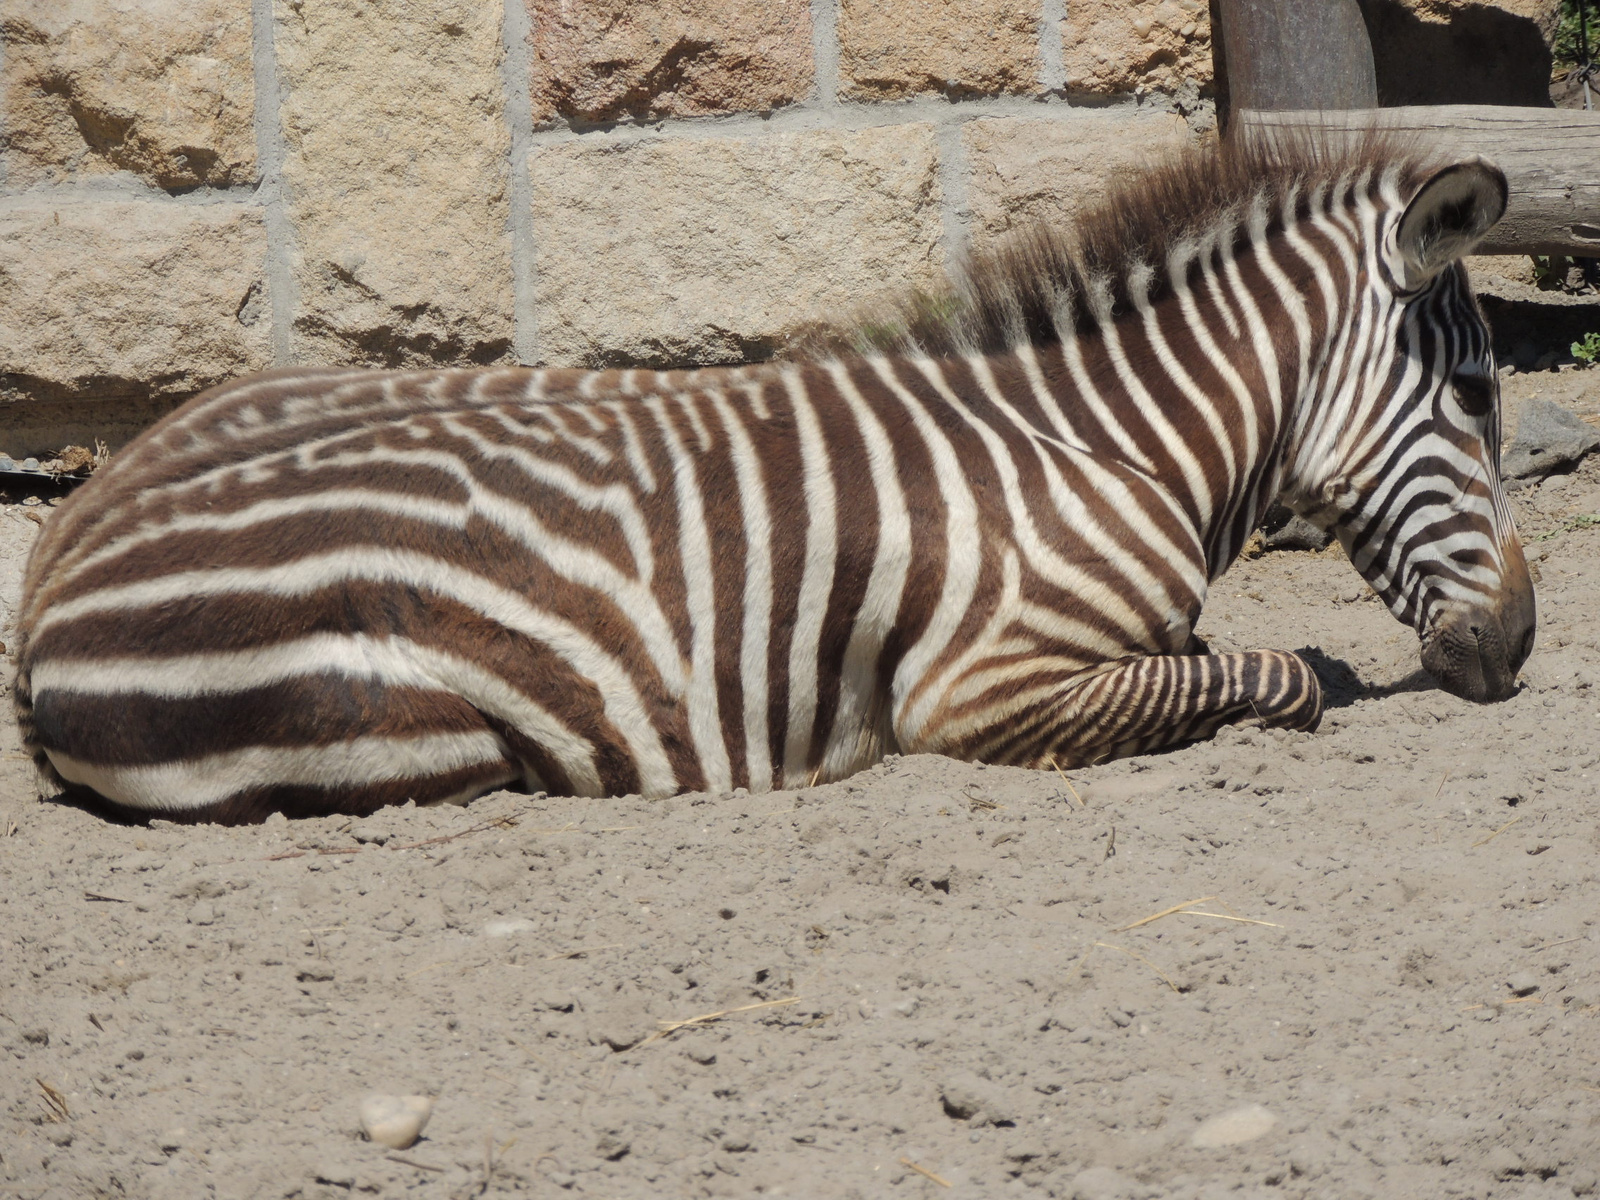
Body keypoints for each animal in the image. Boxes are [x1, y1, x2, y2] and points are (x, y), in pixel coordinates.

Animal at [15, 133, 1536, 825]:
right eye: (1475, 396)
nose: (1522, 645)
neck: (1105, 441)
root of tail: (47, 596)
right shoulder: (980, 688)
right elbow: (1286, 676)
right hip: (425, 735)